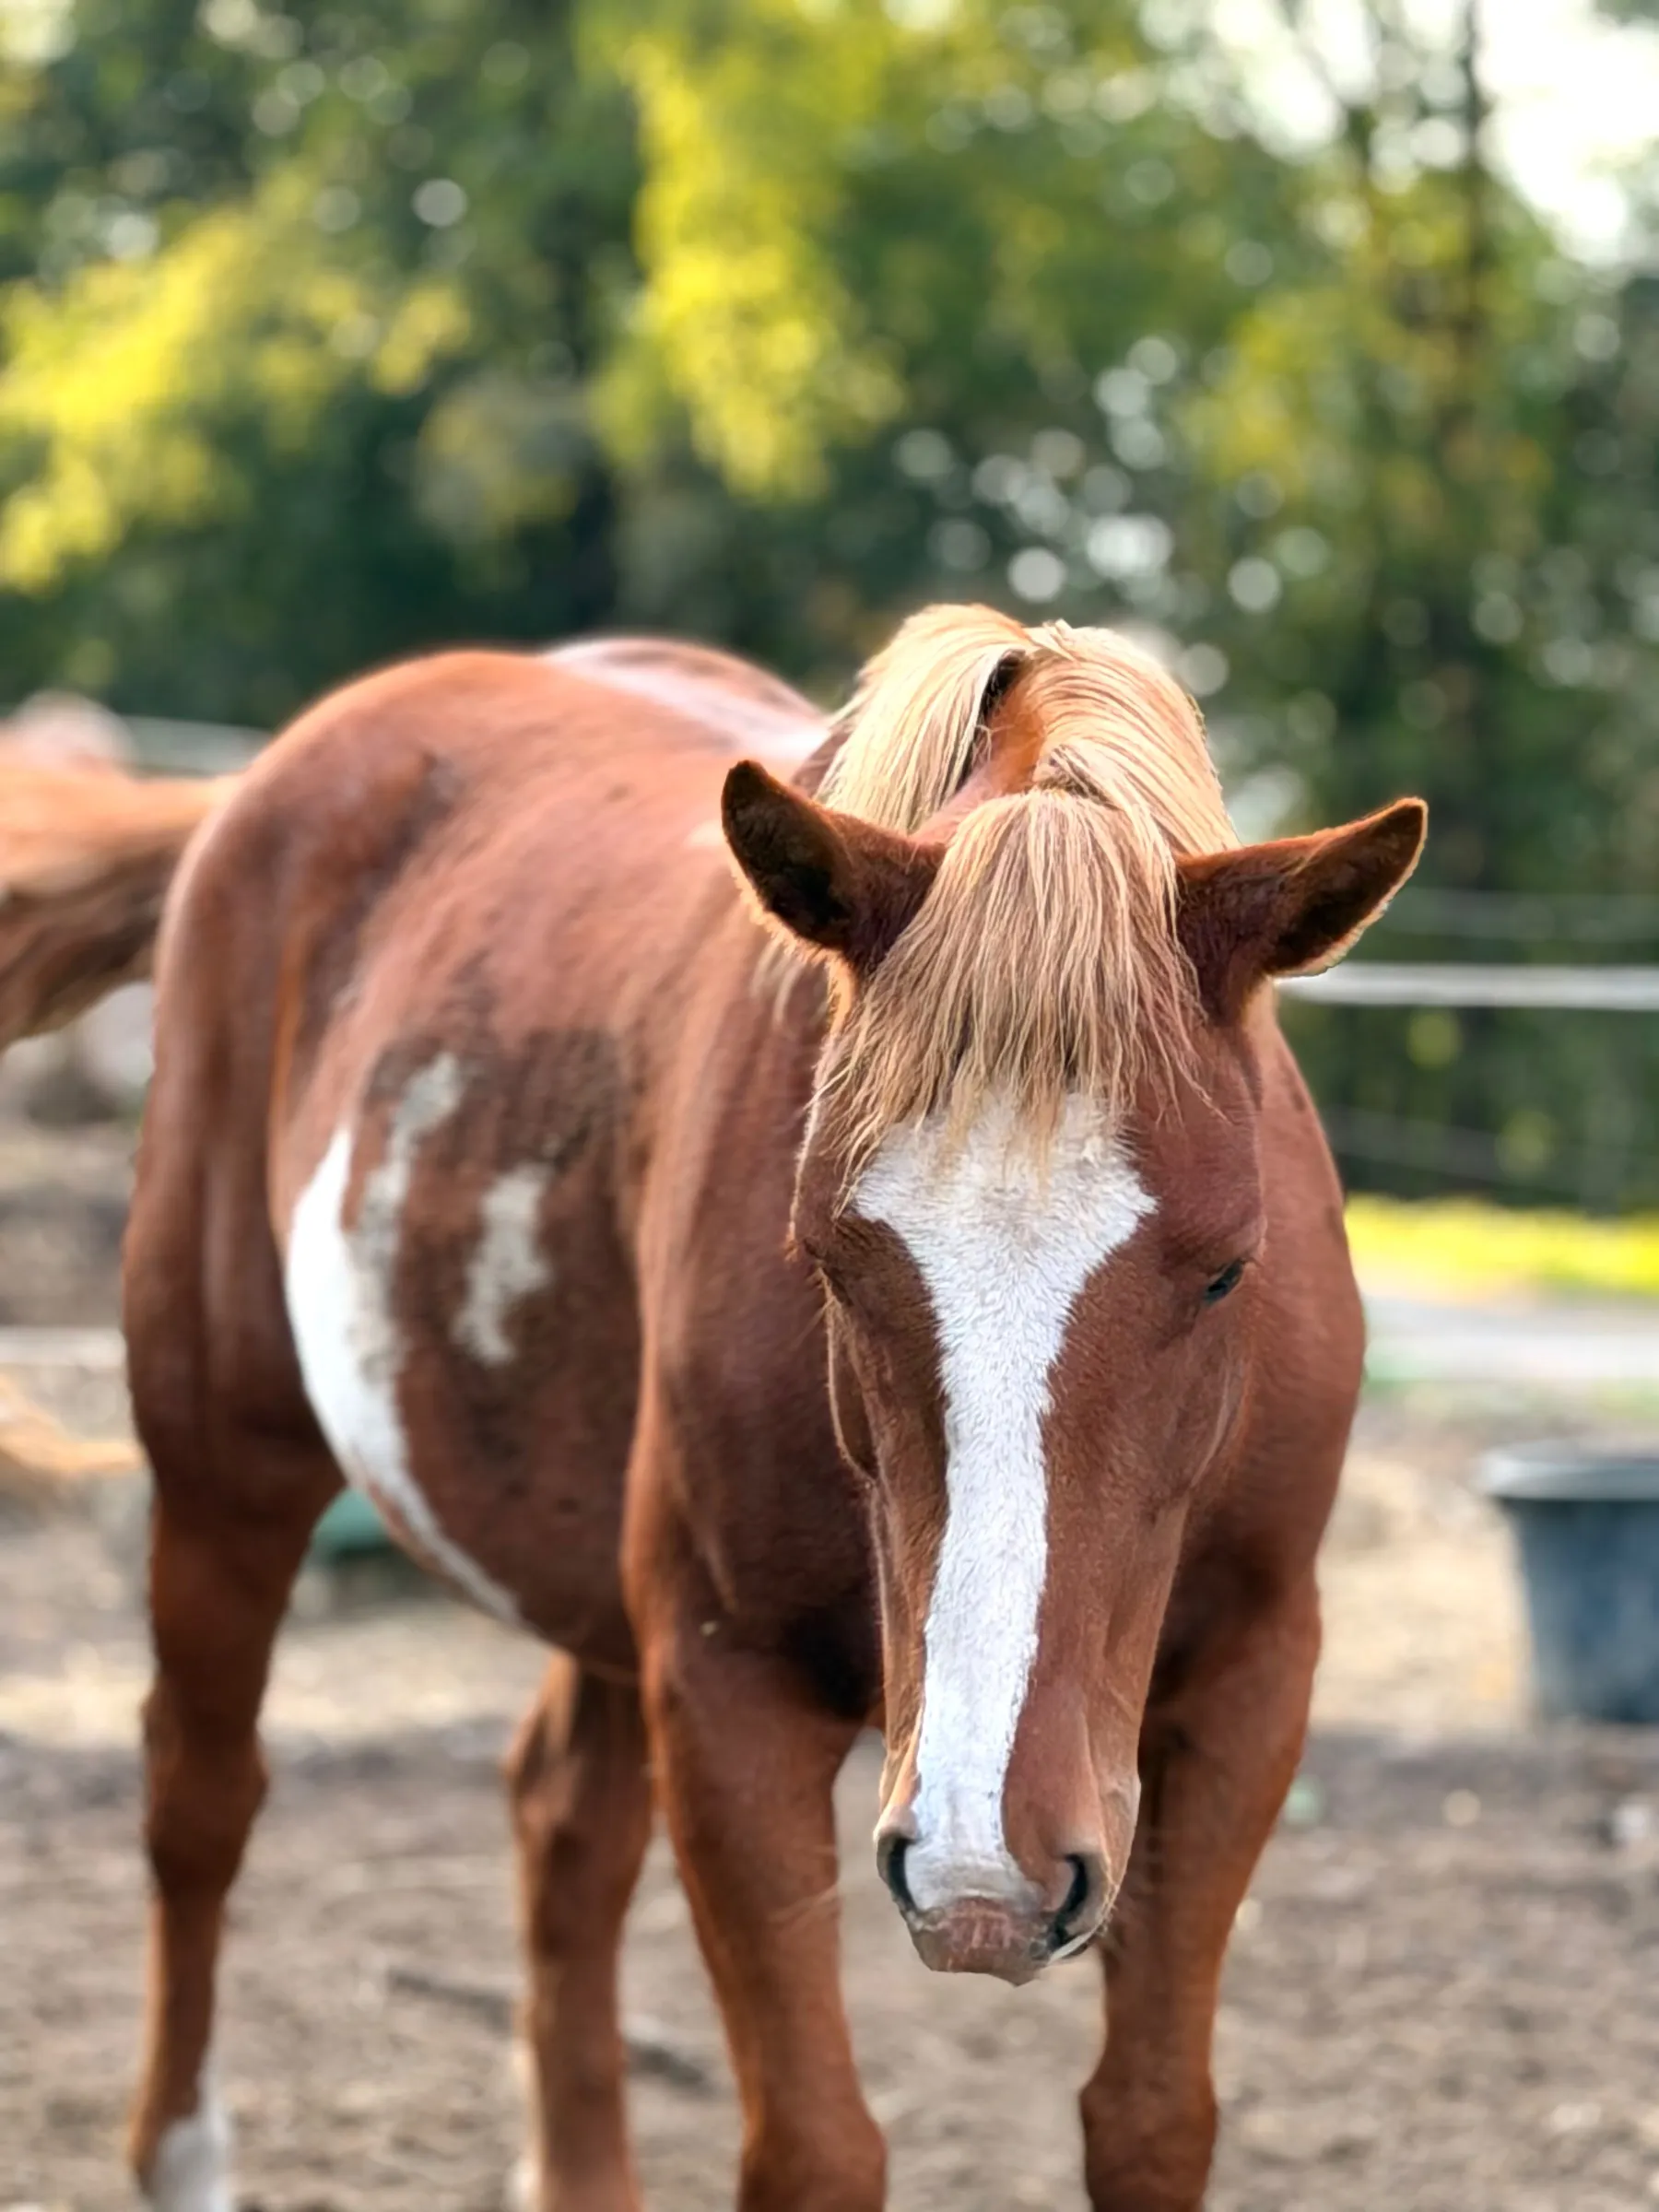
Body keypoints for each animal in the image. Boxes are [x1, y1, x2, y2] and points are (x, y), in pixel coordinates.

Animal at [19, 607, 1423, 2212]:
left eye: (1229, 1269)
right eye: (828, 1257)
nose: (984, 1869)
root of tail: (256, 793)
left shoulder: (1253, 1685)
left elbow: (1149, 2122)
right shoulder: (724, 1695)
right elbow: (815, 2145)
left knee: (560, 1831)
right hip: (223, 1463)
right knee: (199, 1801)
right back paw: (185, 2149)